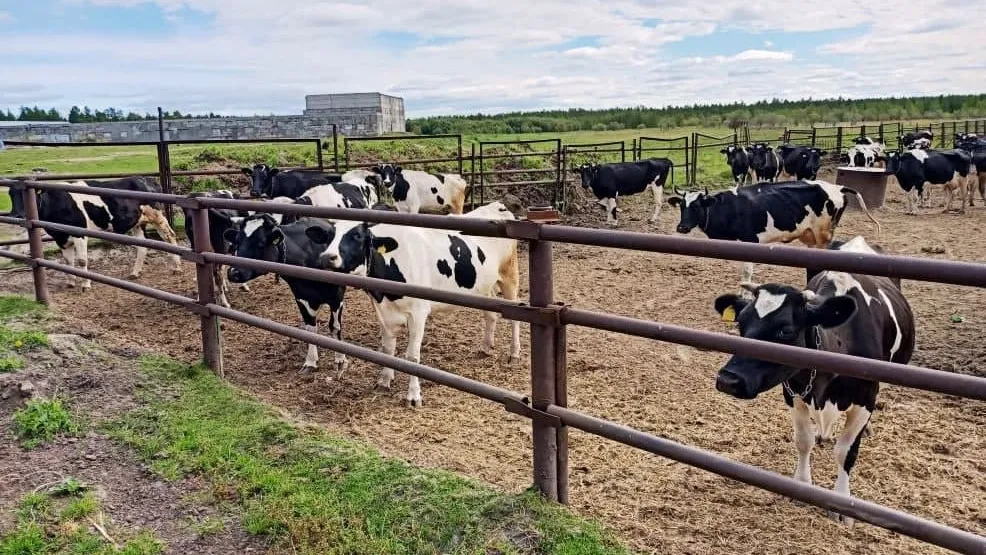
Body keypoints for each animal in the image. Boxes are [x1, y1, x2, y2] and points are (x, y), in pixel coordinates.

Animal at [7, 178, 181, 292]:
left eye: (25, 195)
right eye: (10, 195)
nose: (17, 215)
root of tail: (147, 179)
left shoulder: (79, 232)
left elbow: (82, 260)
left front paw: (85, 285)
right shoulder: (60, 236)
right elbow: (67, 261)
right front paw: (70, 282)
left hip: (156, 215)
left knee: (169, 236)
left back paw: (177, 268)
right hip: (137, 223)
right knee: (143, 246)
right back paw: (134, 273)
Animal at [304, 202, 524, 406]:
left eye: (357, 236)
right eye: (329, 236)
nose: (327, 257)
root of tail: (497, 206)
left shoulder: (418, 313)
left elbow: (412, 357)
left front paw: (413, 395)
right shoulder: (383, 311)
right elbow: (387, 349)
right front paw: (384, 380)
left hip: (509, 276)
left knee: (515, 316)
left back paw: (514, 354)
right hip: (484, 286)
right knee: (490, 314)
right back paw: (486, 346)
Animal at [708, 237, 916, 528]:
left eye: (785, 330)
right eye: (741, 324)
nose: (728, 379)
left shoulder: (864, 400)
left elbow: (845, 452)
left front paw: (842, 504)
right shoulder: (793, 394)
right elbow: (803, 441)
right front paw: (802, 485)